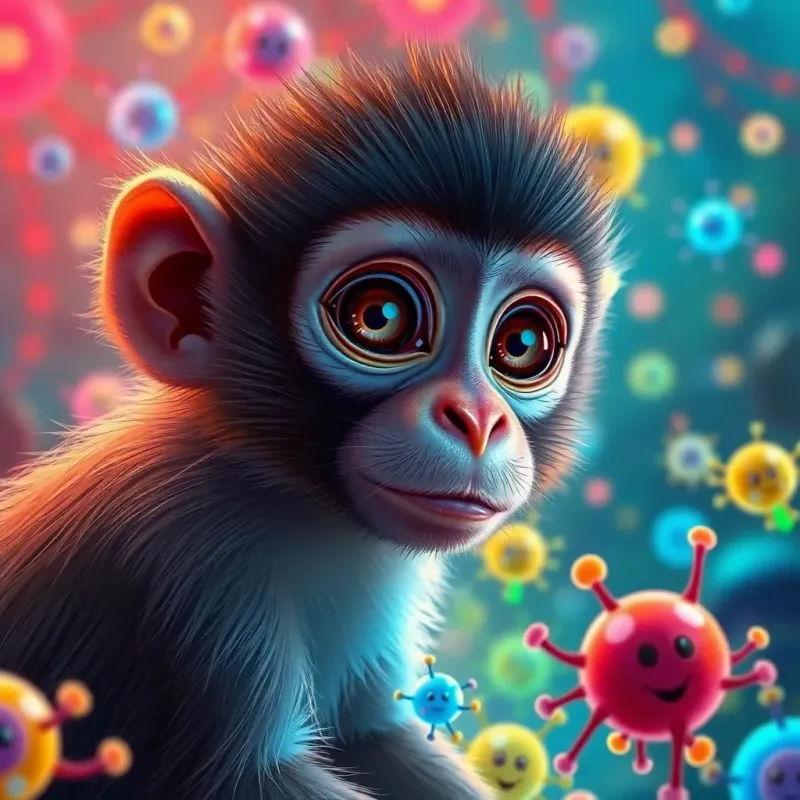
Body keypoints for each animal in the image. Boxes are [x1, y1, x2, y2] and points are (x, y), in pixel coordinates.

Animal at [0, 44, 622, 800]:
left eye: (523, 342)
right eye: (379, 316)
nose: (475, 420)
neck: (296, 500)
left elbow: (373, 736)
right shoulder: (189, 560)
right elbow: (246, 778)